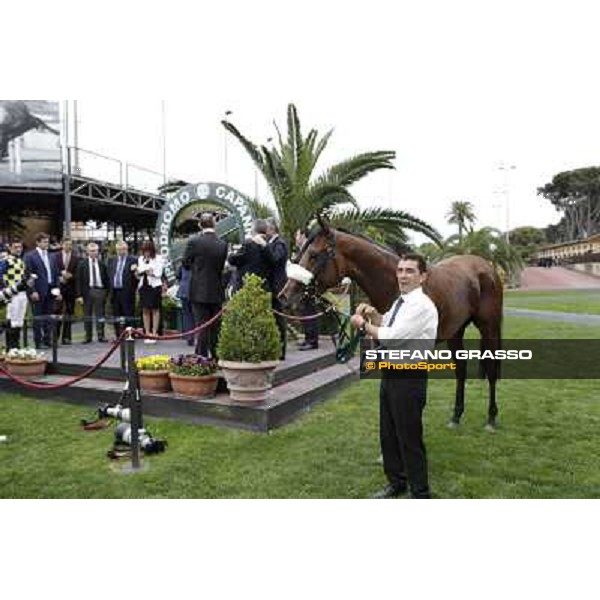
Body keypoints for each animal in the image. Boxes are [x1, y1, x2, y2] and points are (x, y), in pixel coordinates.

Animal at [278, 220, 504, 432]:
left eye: (314, 255)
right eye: (299, 255)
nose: (284, 296)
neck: (396, 284)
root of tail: (486, 266)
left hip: (489, 327)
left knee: (492, 370)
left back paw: (492, 418)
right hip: (456, 331)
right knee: (461, 370)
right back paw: (456, 416)